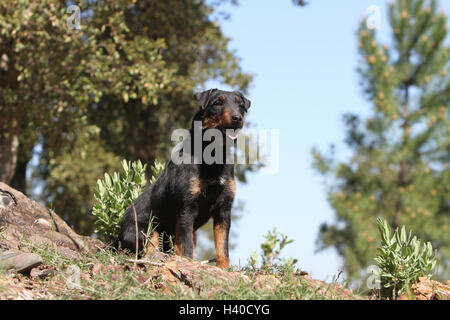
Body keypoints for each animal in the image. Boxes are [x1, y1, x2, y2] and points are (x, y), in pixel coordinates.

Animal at [115, 89, 250, 268]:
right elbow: (186, 246)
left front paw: (224, 269)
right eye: (218, 103)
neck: (213, 157)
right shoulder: (186, 207)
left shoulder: (224, 210)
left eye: (240, 105)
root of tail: (117, 239)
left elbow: (222, 247)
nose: (237, 118)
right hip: (148, 231)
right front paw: (188, 263)